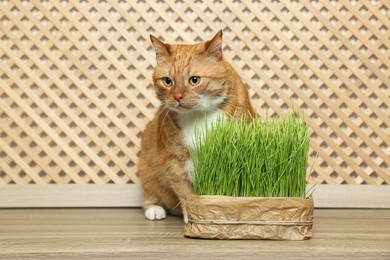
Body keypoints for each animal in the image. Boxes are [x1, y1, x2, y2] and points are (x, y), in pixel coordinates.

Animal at [138, 31, 256, 221]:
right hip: (146, 165)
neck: (199, 115)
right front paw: (193, 217)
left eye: (194, 80)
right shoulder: (175, 162)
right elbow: (187, 195)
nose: (177, 97)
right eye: (167, 81)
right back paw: (154, 209)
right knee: (150, 192)